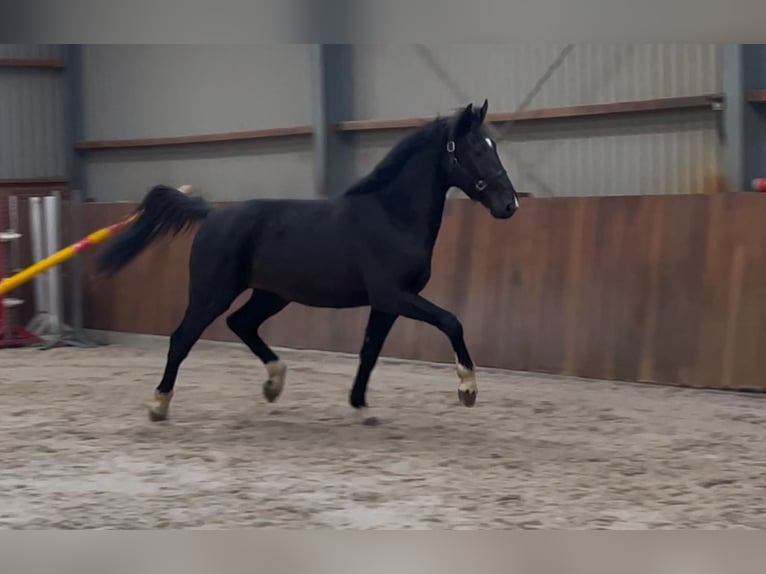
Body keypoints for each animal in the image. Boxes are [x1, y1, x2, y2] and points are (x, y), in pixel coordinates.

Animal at [96, 101, 520, 424]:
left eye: (492, 146)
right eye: (477, 150)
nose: (510, 205)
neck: (391, 216)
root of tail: (211, 213)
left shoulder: (386, 304)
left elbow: (369, 351)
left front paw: (361, 407)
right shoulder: (394, 295)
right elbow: (451, 321)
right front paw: (467, 388)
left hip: (272, 294)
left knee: (241, 323)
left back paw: (274, 383)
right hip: (212, 293)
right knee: (181, 338)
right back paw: (159, 405)